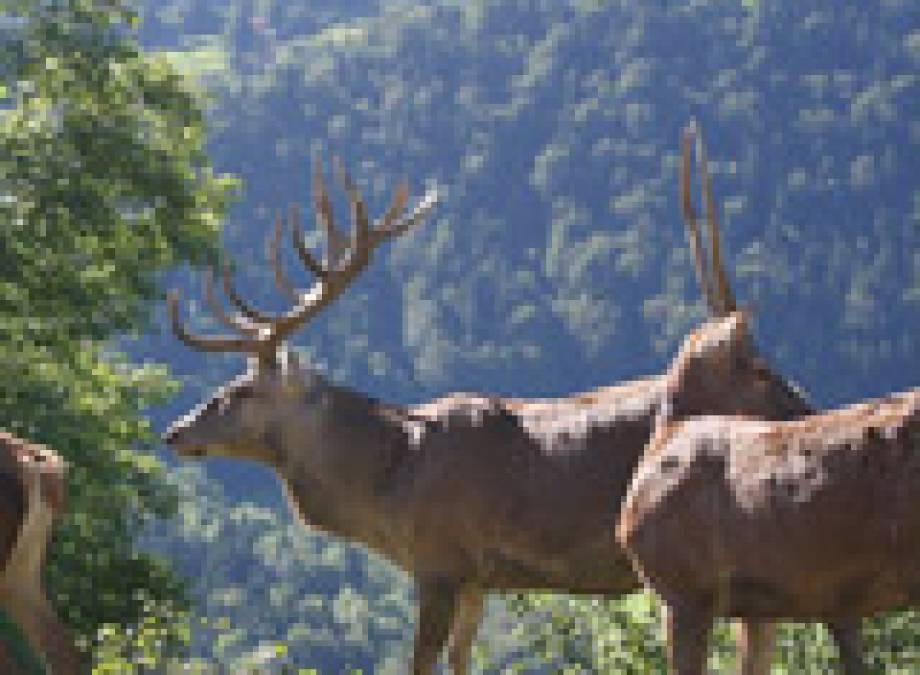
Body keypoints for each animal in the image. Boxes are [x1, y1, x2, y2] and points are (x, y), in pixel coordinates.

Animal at [167, 139, 812, 675]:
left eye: (241, 390)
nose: (175, 430)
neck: (386, 486)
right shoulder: (479, 578)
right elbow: (461, 662)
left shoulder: (439, 560)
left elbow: (420, 665)